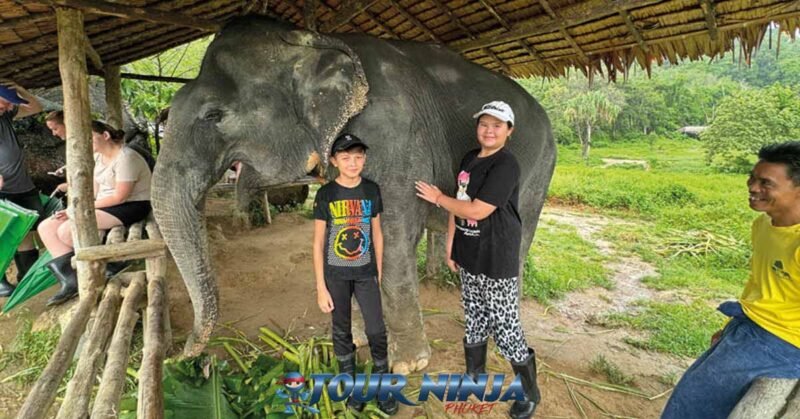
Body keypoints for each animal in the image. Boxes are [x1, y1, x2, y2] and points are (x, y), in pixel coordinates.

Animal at [152, 15, 556, 372]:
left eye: (213, 115)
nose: (178, 357)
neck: (313, 41)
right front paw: (363, 338)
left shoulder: (395, 135)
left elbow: (395, 233)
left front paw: (407, 364)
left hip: (539, 167)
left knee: (517, 240)